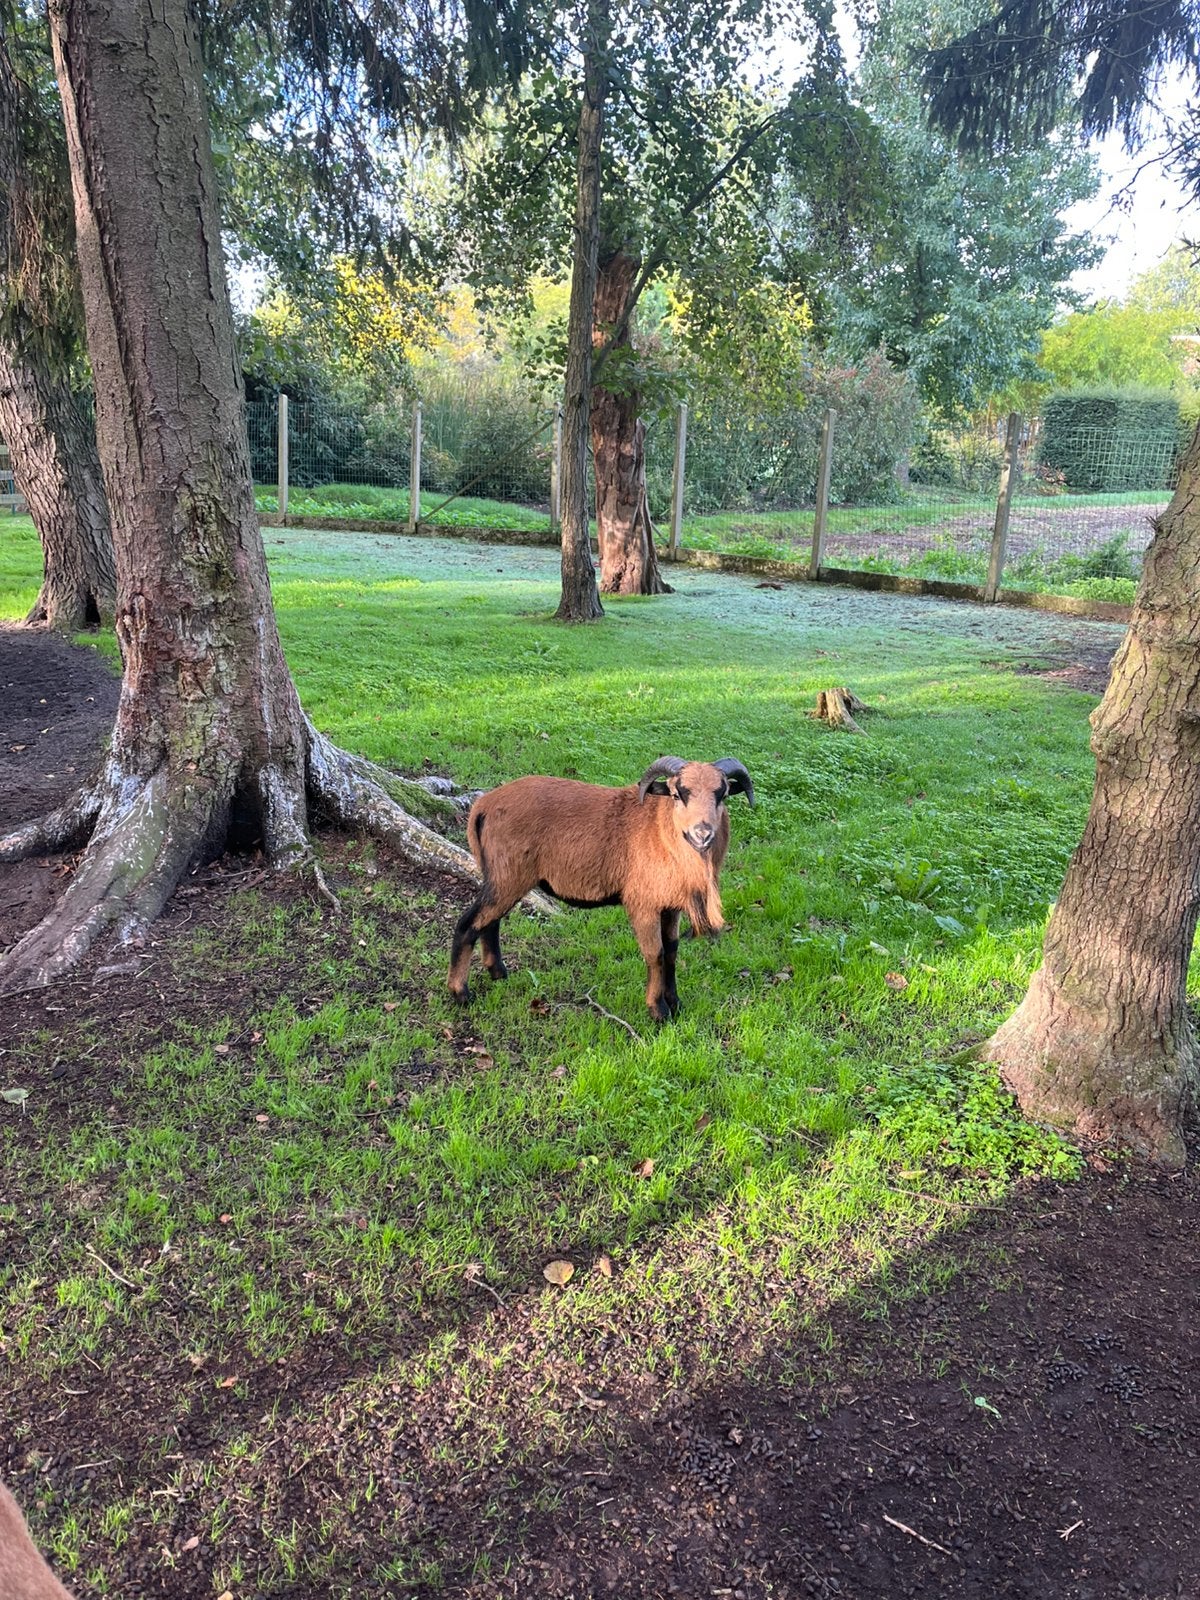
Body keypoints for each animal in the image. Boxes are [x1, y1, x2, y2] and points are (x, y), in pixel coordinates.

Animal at [448, 756, 754, 1020]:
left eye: (722, 794)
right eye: (677, 794)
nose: (702, 834)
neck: (661, 830)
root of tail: (483, 806)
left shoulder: (670, 906)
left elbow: (671, 951)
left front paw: (676, 1003)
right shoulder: (642, 903)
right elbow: (655, 954)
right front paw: (658, 1011)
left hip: (502, 878)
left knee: (490, 923)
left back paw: (498, 974)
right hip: (508, 876)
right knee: (468, 924)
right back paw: (461, 993)